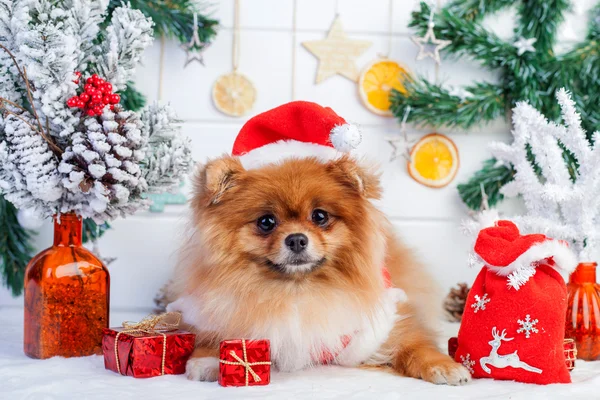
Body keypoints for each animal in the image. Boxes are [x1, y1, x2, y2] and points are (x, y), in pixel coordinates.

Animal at [163, 101, 468, 386]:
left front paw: (444, 366)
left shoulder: (387, 321)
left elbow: (416, 343)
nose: (297, 239)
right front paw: (207, 359)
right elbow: (209, 332)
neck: (299, 292)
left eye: (319, 216)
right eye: (266, 222)